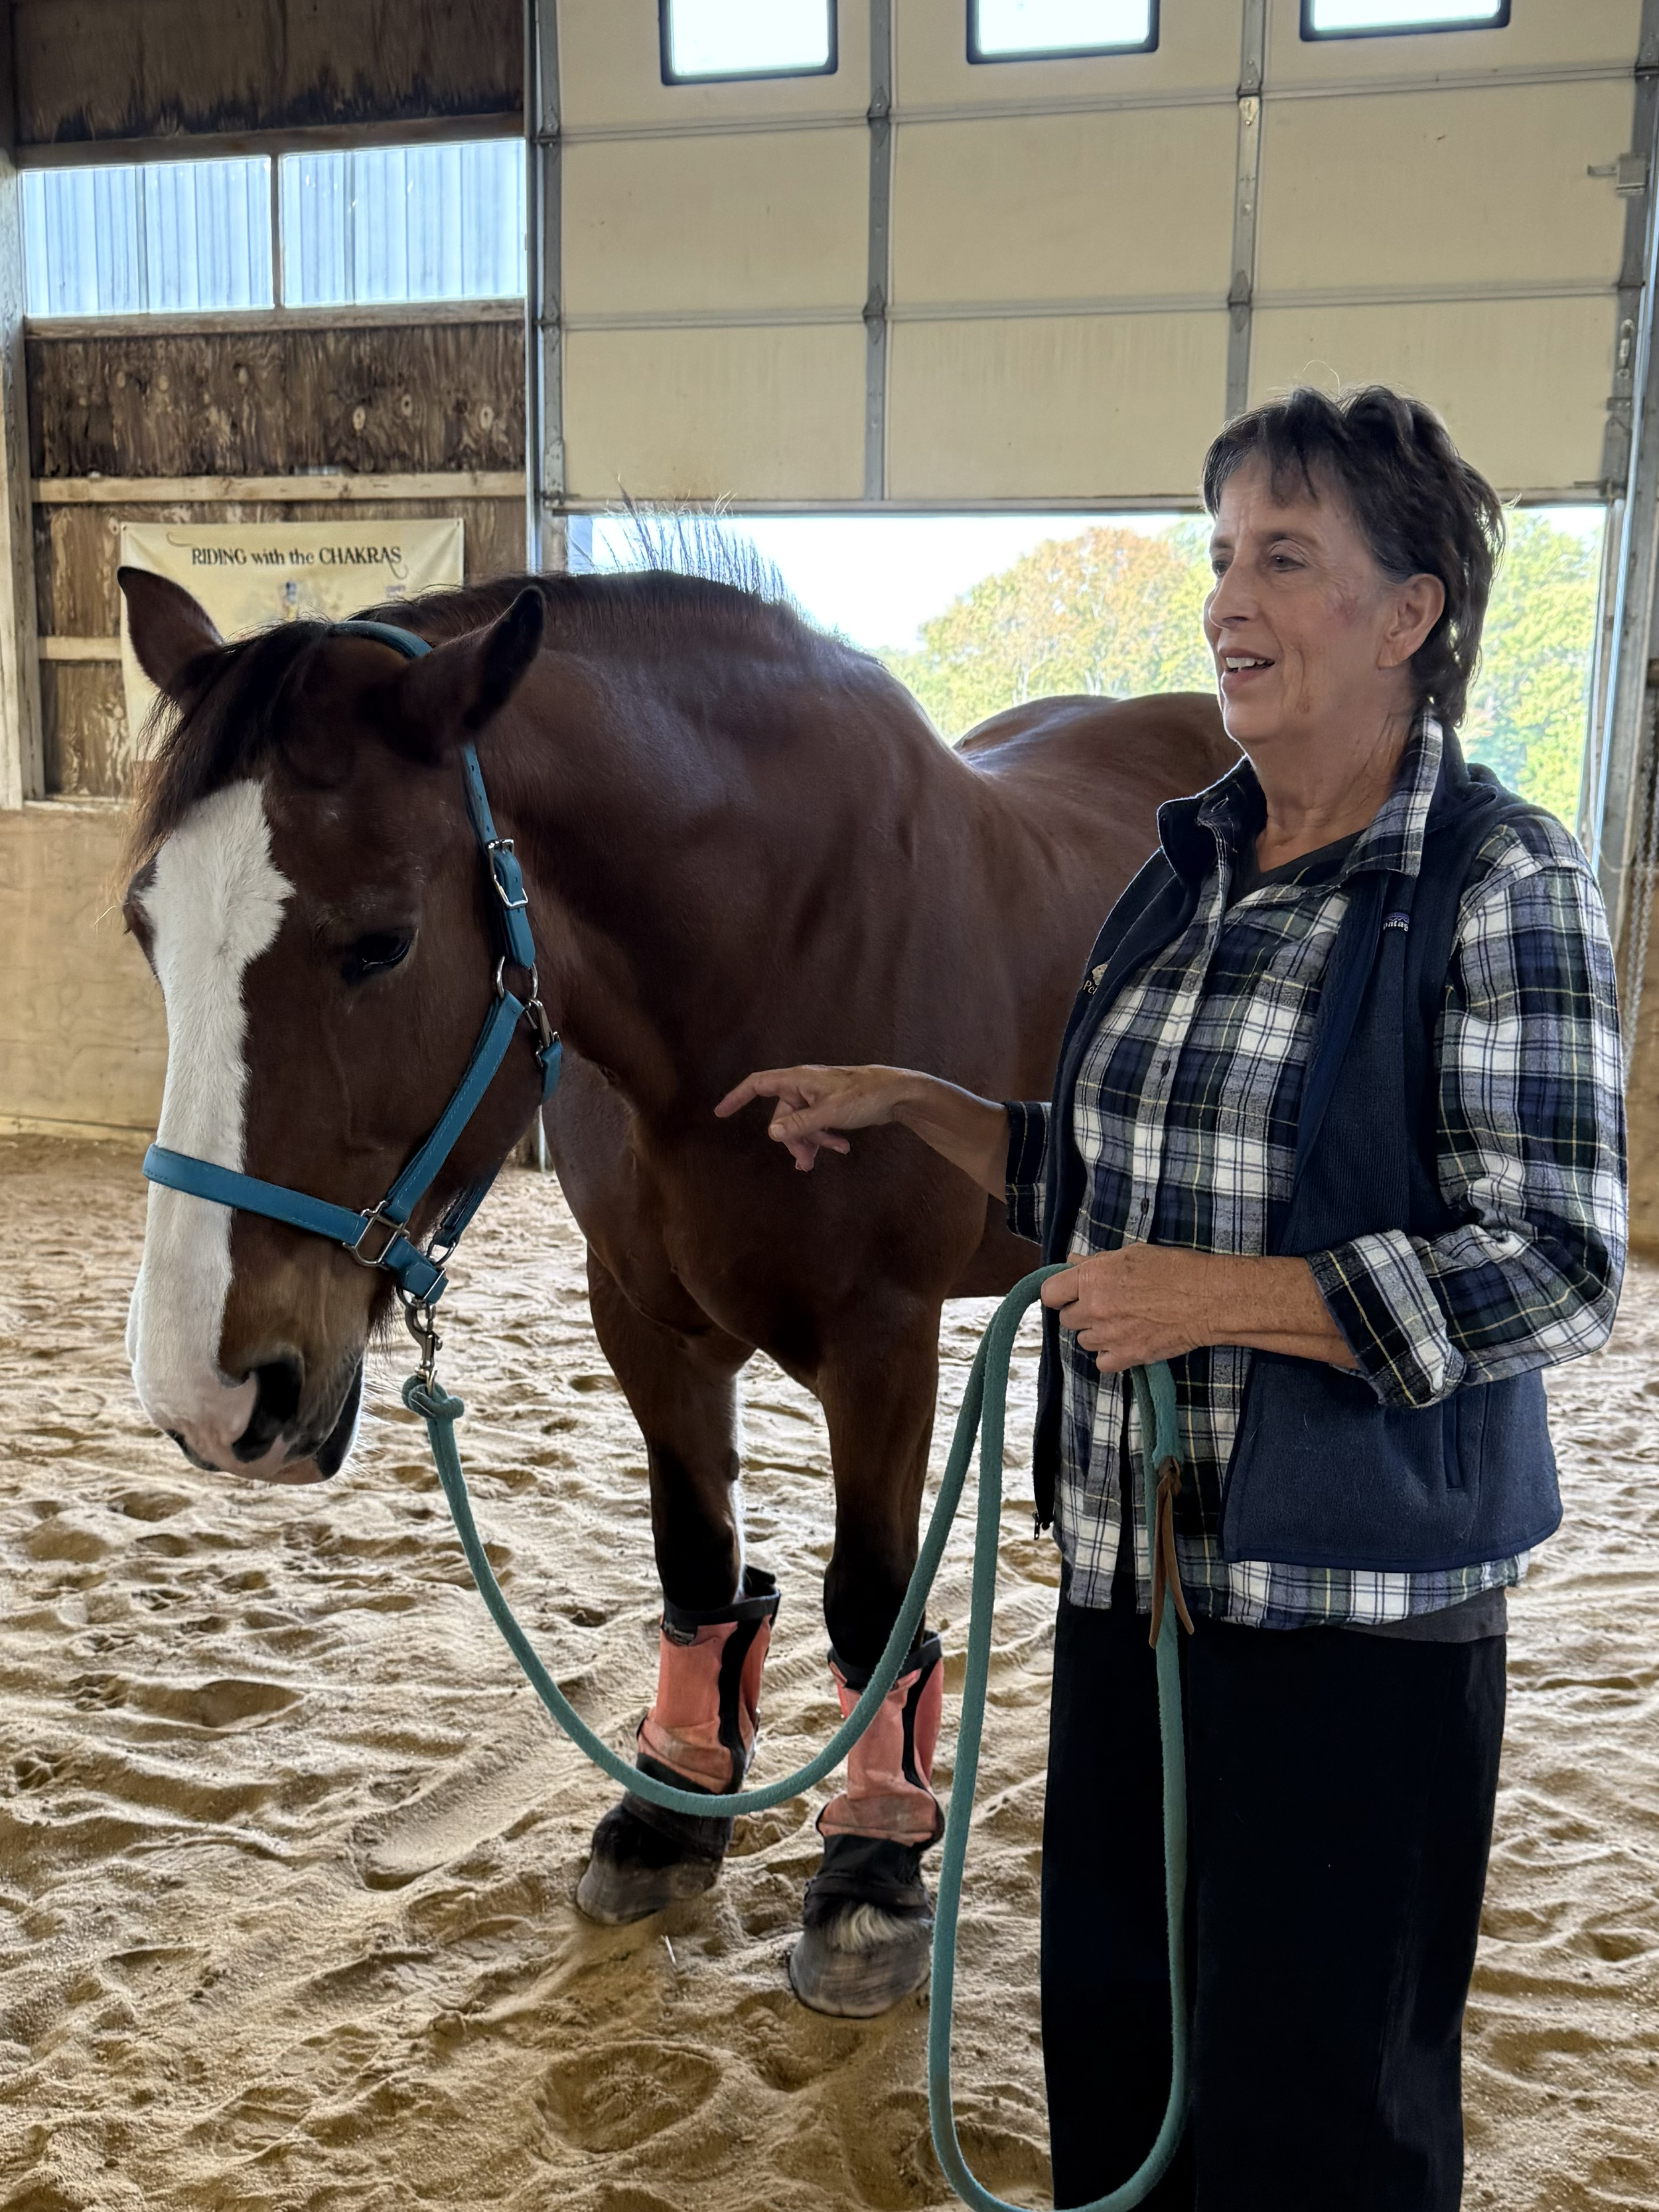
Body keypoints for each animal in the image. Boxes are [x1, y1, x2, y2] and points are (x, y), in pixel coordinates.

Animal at [117, 558, 1233, 2018]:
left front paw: (871, 1870)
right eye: (145, 925)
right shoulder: (644, 1322)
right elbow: (699, 1566)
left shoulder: (881, 1341)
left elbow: (870, 1598)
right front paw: (669, 1812)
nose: (204, 1391)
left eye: (382, 942)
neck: (765, 955)